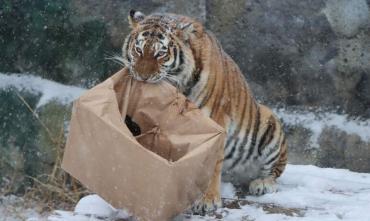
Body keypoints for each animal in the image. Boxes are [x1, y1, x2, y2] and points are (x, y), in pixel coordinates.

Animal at [118, 9, 286, 214]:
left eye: (160, 53)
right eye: (139, 50)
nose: (142, 77)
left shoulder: (215, 122)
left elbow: (211, 164)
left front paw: (207, 201)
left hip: (269, 122)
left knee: (275, 171)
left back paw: (262, 184)